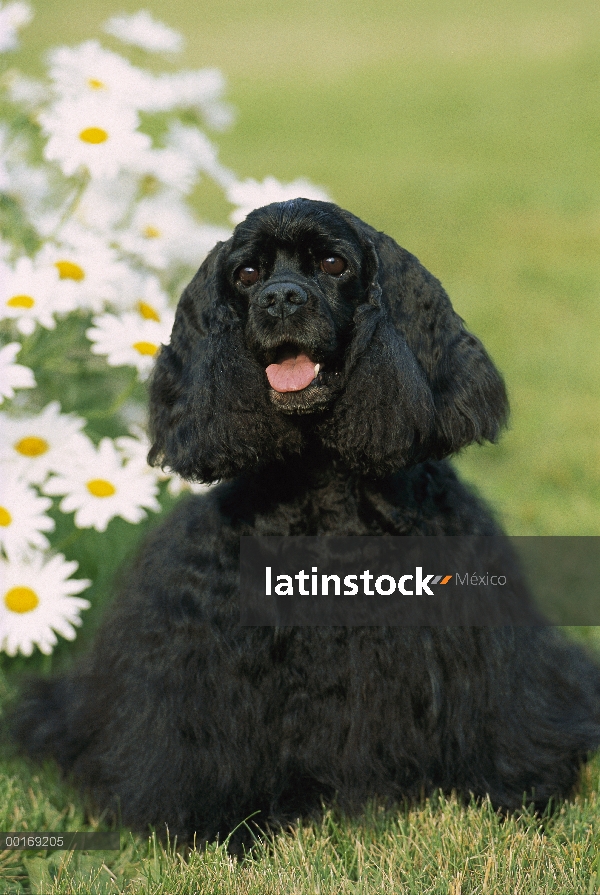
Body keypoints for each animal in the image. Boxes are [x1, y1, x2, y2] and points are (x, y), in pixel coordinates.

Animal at [12, 200, 600, 844]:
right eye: (246, 274)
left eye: (333, 263)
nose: (281, 300)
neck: (324, 486)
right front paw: (213, 823)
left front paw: (514, 792)